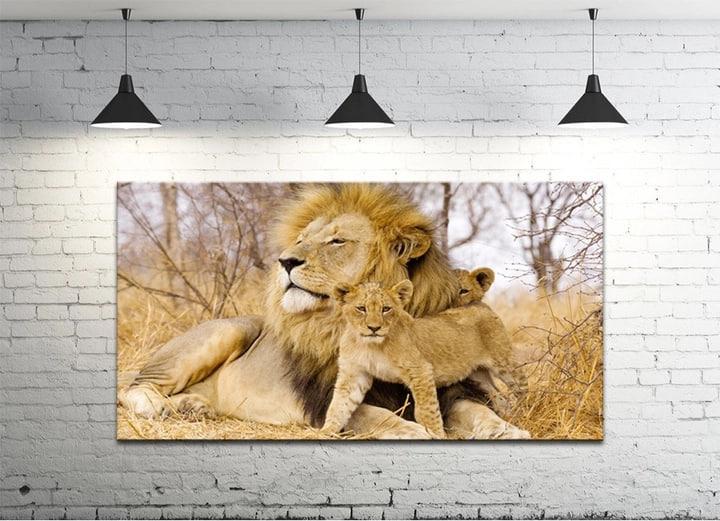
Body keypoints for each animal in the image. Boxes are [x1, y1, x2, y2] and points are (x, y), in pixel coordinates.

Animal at [323, 280, 528, 439]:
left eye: (386, 309)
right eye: (361, 308)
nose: (374, 328)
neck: (370, 345)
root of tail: (479, 304)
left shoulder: (420, 370)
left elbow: (426, 411)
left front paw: (437, 435)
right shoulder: (353, 374)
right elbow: (339, 406)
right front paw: (325, 432)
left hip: (504, 363)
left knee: (522, 387)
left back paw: (529, 409)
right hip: (478, 375)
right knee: (498, 396)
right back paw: (510, 415)